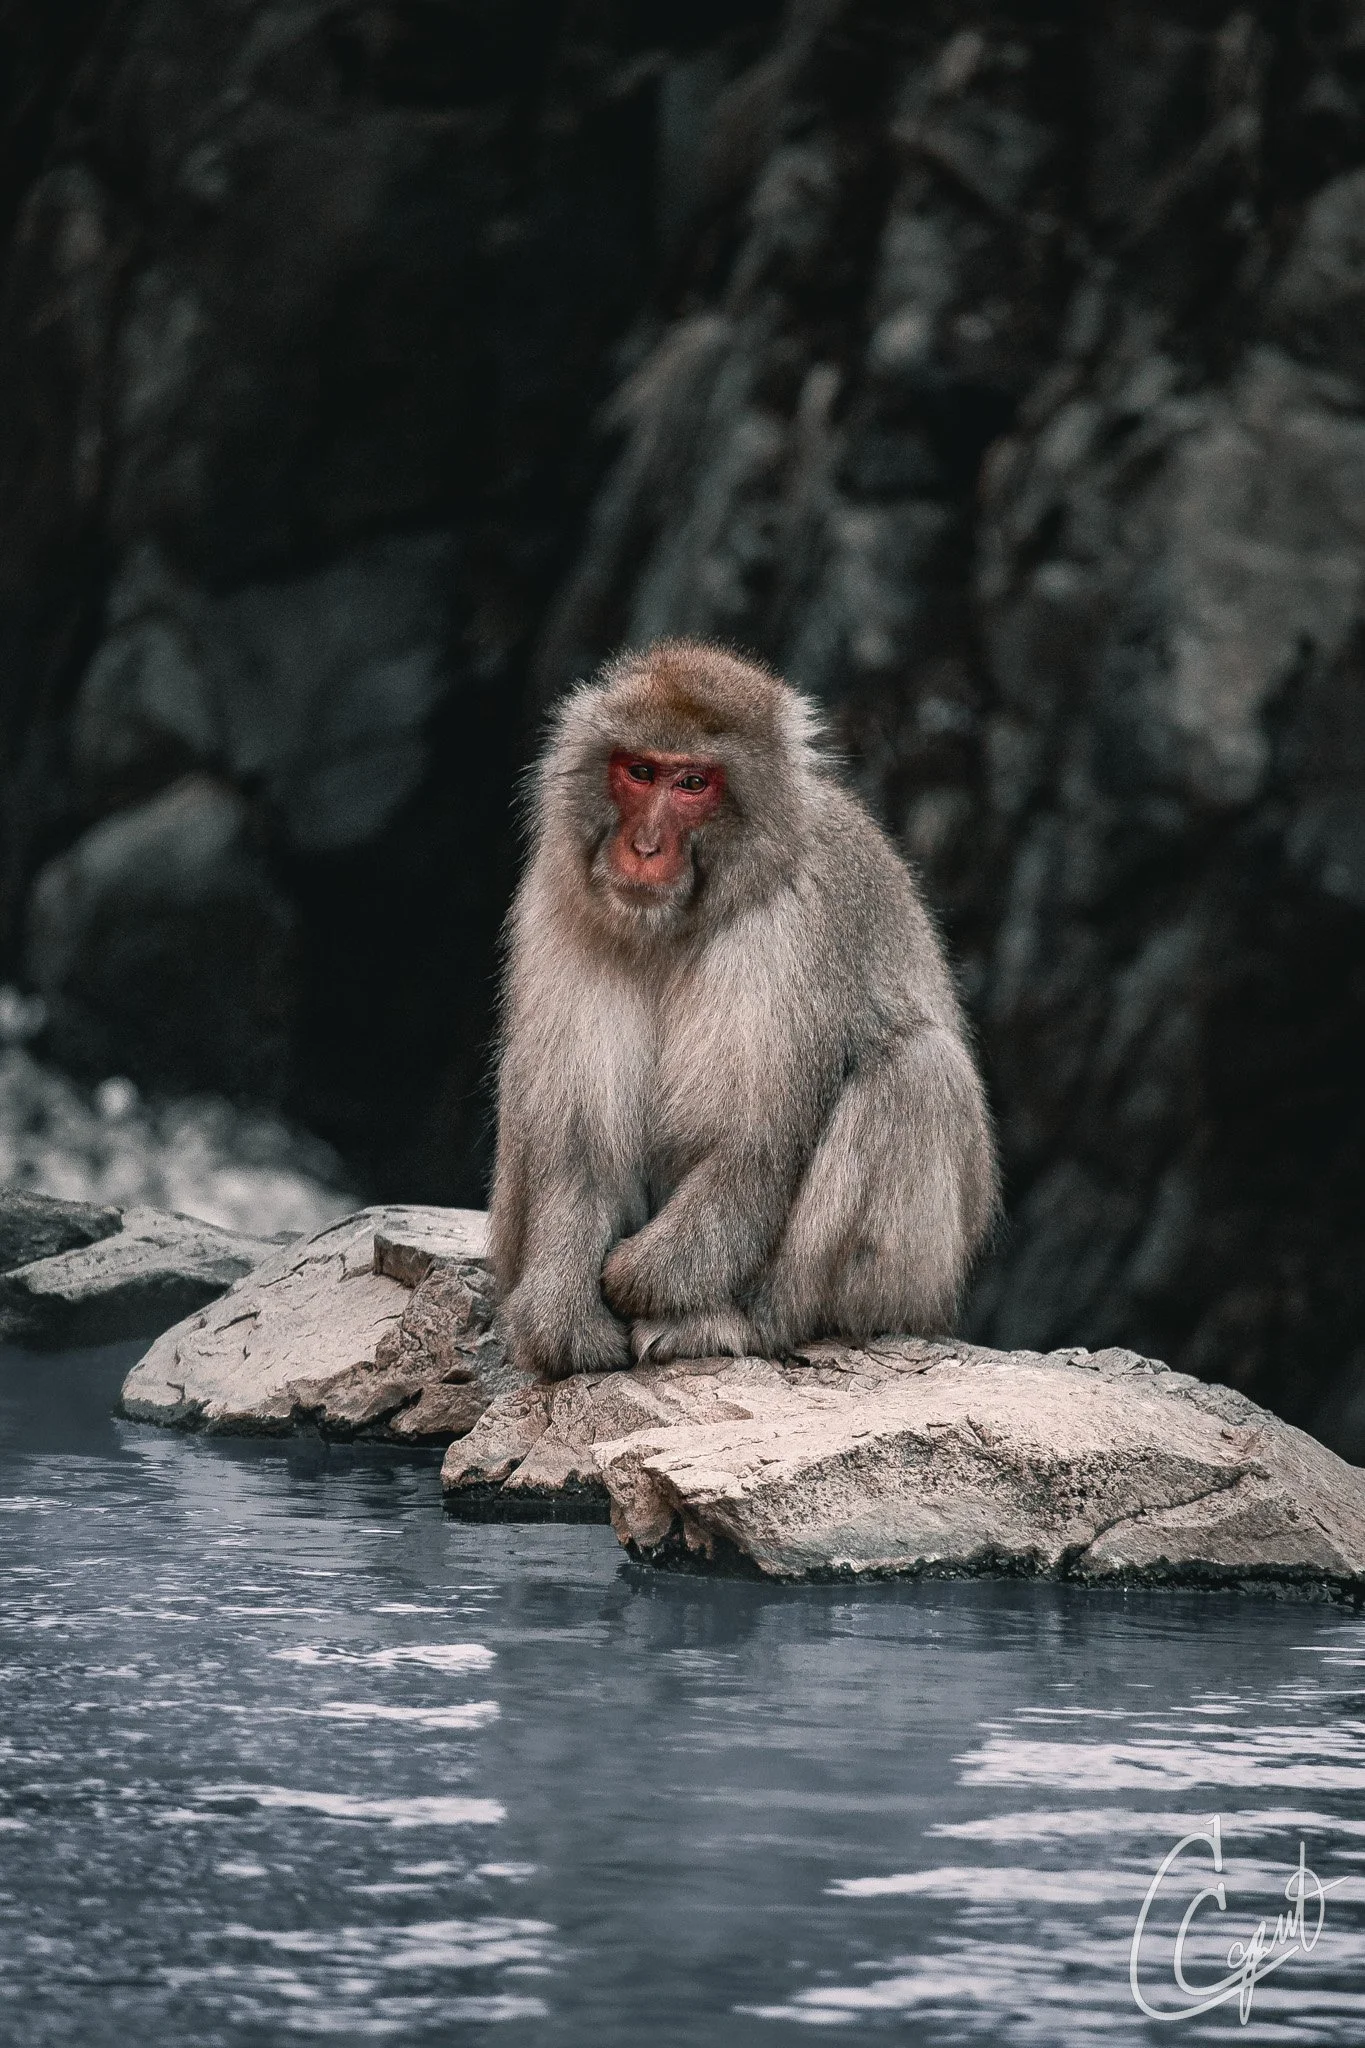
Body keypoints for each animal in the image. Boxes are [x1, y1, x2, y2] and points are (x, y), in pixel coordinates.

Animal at [489, 638, 997, 1380]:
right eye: (640, 772)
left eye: (693, 784)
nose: (643, 848)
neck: (679, 923)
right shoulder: (558, 898)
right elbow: (582, 1146)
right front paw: (563, 1318)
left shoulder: (795, 925)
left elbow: (752, 1145)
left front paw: (639, 1278)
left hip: (911, 1287)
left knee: (916, 1072)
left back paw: (749, 1321)